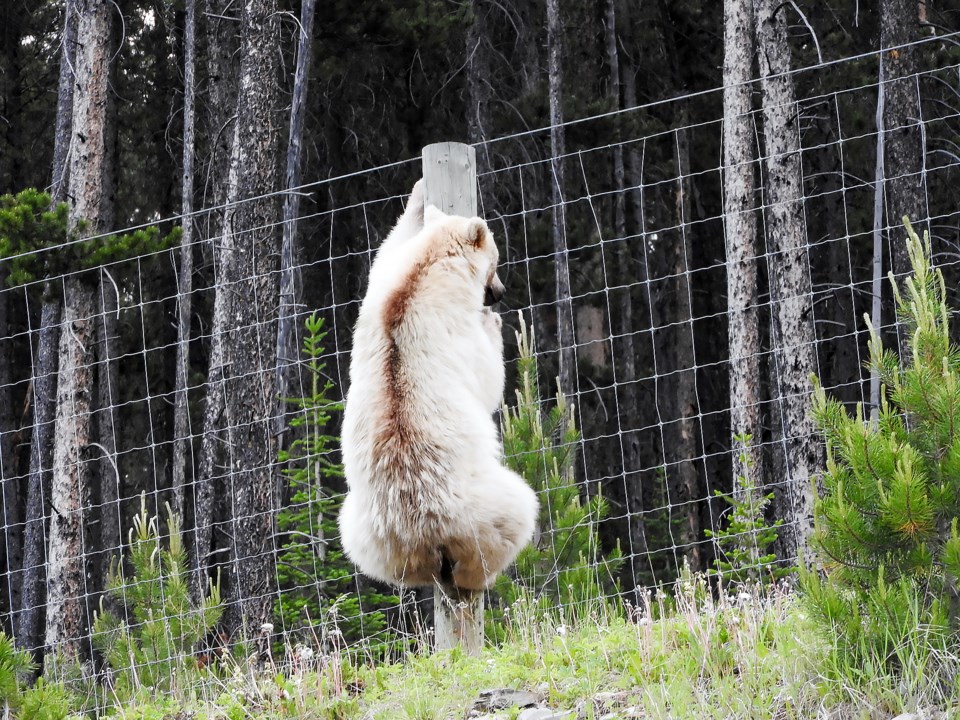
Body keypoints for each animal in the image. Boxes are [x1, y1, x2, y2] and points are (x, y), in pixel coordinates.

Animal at [338, 181, 540, 592]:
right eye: (496, 259)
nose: (500, 291)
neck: (428, 270)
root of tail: (423, 532)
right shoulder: (453, 323)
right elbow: (486, 379)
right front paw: (492, 324)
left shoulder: (383, 285)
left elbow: (387, 249)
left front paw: (418, 196)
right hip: (484, 506)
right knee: (518, 510)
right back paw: (479, 578)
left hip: (366, 531)